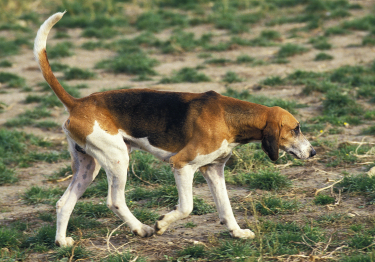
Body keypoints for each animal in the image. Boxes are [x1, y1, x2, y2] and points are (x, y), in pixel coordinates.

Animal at [35, 11, 318, 246]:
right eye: (296, 129)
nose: (313, 152)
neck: (229, 118)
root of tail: (78, 102)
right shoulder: (182, 165)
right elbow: (186, 207)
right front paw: (162, 224)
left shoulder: (214, 169)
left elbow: (226, 207)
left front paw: (237, 233)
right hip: (118, 159)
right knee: (115, 201)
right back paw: (142, 229)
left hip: (89, 166)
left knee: (63, 203)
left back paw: (62, 243)